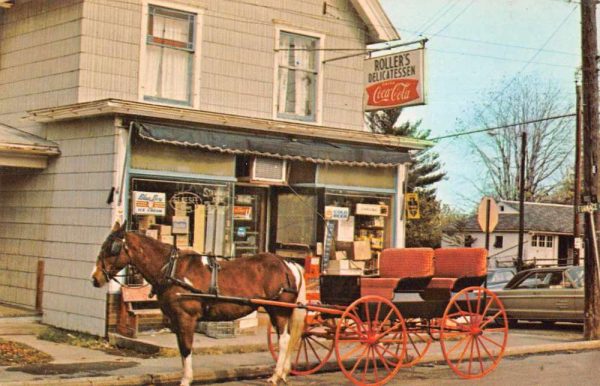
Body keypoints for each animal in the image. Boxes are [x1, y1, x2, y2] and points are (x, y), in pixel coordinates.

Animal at [91, 222, 308, 384]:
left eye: (112, 249)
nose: (95, 278)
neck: (171, 269)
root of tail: (288, 264)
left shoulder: (186, 318)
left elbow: (187, 348)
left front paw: (186, 380)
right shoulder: (176, 320)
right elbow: (181, 347)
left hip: (278, 310)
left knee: (284, 340)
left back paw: (276, 375)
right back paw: (284, 373)